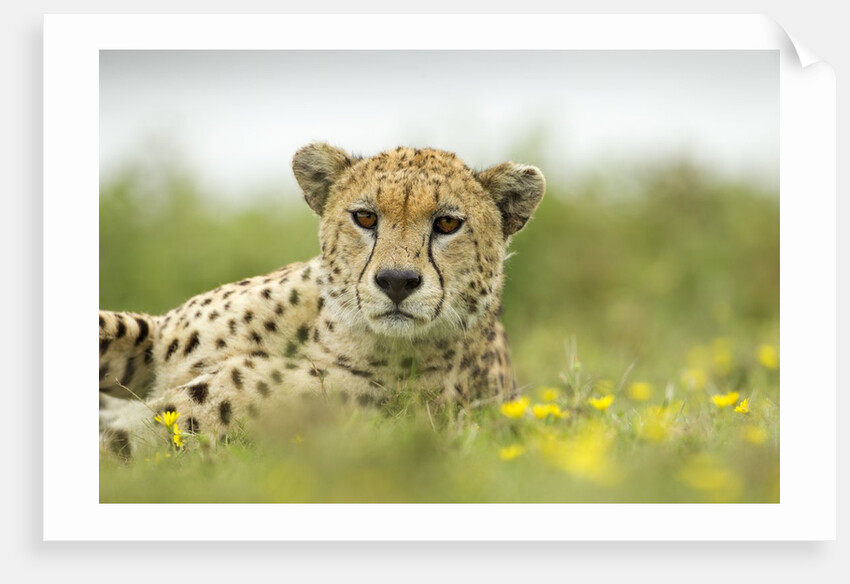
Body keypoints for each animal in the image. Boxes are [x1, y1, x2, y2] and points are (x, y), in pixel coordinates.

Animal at [99, 142, 545, 457]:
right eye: (365, 217)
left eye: (448, 223)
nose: (396, 281)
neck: (323, 331)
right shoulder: (156, 343)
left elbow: (120, 446)